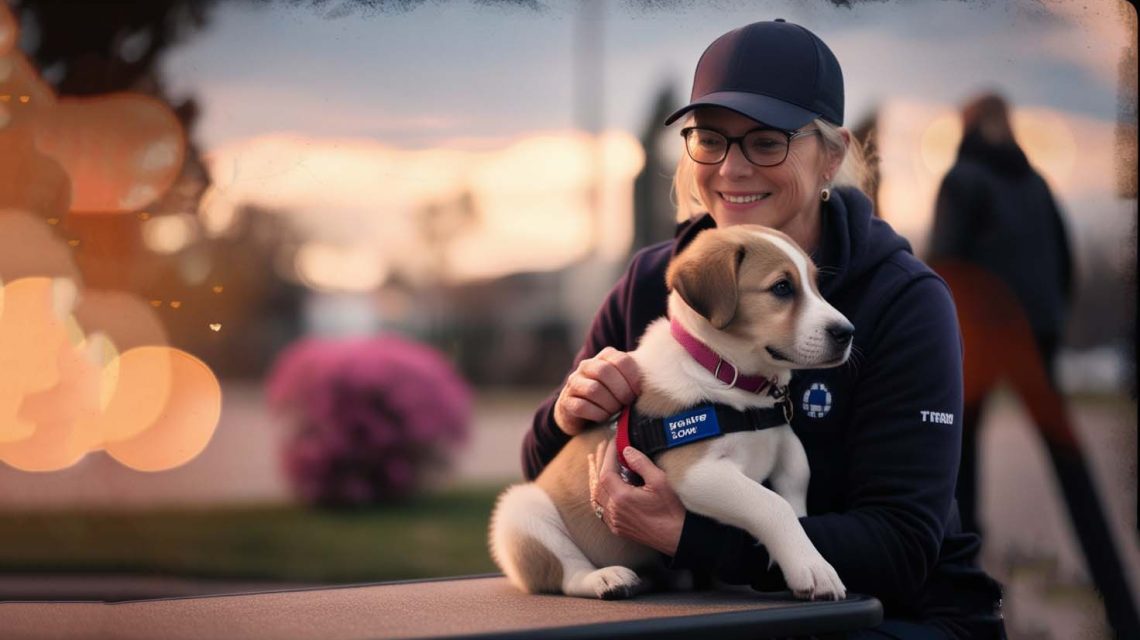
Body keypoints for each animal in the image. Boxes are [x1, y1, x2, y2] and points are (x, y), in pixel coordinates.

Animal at [490, 224, 857, 597]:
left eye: (816, 284)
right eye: (782, 287)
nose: (847, 333)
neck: (726, 375)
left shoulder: (781, 439)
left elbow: (797, 477)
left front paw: (793, 547)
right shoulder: (695, 473)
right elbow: (770, 503)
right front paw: (811, 567)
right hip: (521, 512)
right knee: (568, 574)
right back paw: (606, 578)